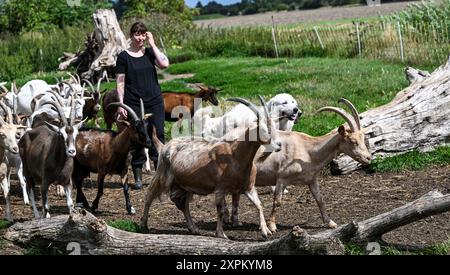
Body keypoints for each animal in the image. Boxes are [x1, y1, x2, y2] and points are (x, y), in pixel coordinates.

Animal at [141, 96, 282, 239]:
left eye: (275, 128)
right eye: (264, 130)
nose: (279, 145)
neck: (235, 155)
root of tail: (164, 146)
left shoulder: (248, 187)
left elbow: (259, 205)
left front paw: (265, 230)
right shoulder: (220, 189)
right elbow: (220, 211)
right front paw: (221, 233)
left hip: (184, 185)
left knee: (183, 204)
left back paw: (194, 228)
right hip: (162, 175)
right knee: (149, 195)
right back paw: (144, 225)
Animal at [227, 98, 370, 232]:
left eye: (363, 138)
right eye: (353, 141)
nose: (368, 158)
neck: (308, 150)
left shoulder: (312, 179)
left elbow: (320, 199)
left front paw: (330, 222)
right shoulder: (282, 178)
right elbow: (277, 202)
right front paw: (272, 226)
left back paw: (235, 221)